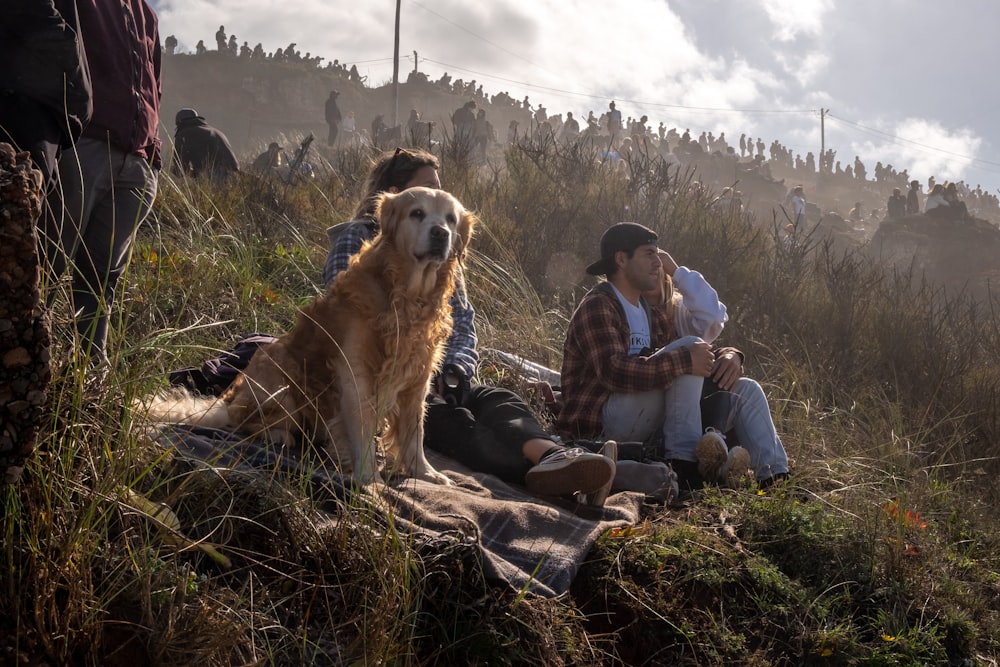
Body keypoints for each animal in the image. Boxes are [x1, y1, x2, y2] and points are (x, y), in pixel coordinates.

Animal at [140, 188, 476, 486]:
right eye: (417, 213)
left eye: (451, 219)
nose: (441, 233)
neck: (407, 294)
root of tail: (228, 398)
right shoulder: (356, 376)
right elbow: (363, 433)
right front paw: (370, 479)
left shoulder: (417, 382)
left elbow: (414, 433)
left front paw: (425, 472)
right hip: (280, 374)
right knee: (245, 422)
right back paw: (278, 434)